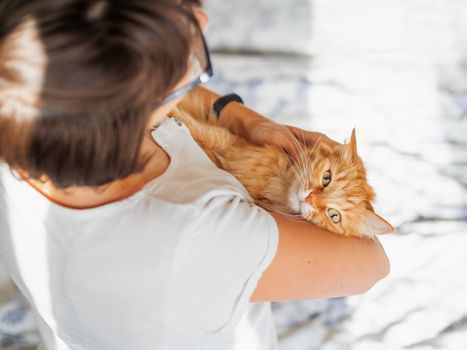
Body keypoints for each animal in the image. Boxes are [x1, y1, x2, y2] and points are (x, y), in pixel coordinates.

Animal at [170, 104, 394, 238]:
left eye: (334, 215)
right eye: (326, 178)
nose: (309, 199)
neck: (276, 181)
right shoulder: (228, 141)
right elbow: (197, 128)